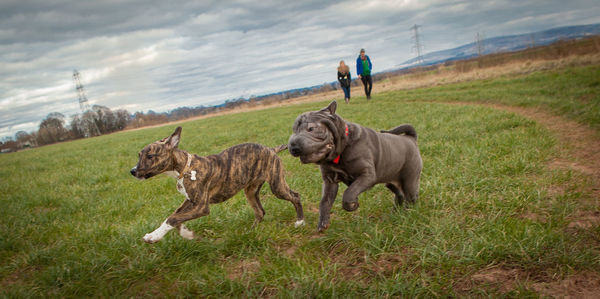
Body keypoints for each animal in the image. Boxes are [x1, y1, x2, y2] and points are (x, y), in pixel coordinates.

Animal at [129, 126, 302, 244]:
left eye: (150, 156)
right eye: (139, 155)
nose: (132, 171)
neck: (186, 168)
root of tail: (271, 149)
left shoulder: (201, 207)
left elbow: (173, 218)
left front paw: (154, 236)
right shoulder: (190, 201)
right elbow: (174, 217)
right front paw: (186, 233)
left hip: (277, 185)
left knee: (295, 196)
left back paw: (300, 221)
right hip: (251, 190)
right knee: (260, 211)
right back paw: (250, 232)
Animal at [288, 102, 422, 233]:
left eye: (311, 129)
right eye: (294, 130)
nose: (293, 146)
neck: (342, 149)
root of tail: (411, 138)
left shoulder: (366, 175)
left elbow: (349, 193)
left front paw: (353, 205)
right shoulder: (330, 181)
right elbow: (324, 202)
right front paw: (323, 223)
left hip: (409, 181)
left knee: (411, 197)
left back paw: (409, 213)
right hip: (391, 182)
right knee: (399, 194)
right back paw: (395, 212)